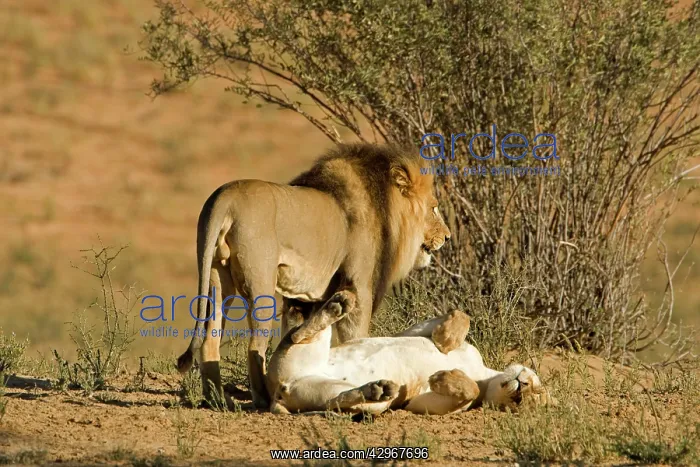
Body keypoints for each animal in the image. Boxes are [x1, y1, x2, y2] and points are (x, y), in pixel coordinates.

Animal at [177, 143, 451, 408]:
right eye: (434, 208)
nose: (448, 237)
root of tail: (226, 196)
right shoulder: (359, 286)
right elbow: (356, 335)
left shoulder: (301, 299)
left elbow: (295, 327)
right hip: (261, 284)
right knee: (255, 346)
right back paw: (261, 398)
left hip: (216, 279)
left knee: (210, 340)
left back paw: (218, 400)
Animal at [268, 308, 551, 415]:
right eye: (537, 389)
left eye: (521, 403)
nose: (523, 387)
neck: (484, 374)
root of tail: (280, 391)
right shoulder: (413, 331)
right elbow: (461, 317)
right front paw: (445, 339)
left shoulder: (420, 404)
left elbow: (469, 391)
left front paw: (442, 377)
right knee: (296, 334)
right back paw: (337, 305)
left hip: (363, 403)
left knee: (335, 400)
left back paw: (378, 389)